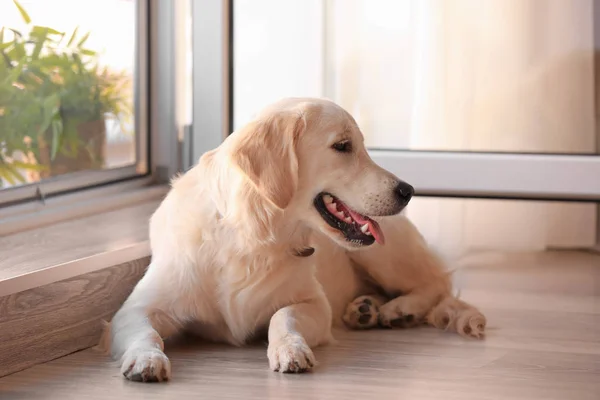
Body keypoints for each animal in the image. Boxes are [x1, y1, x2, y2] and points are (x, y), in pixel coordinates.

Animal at [104, 96, 488, 382]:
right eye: (343, 146)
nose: (408, 191)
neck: (253, 236)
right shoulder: (135, 309)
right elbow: (146, 332)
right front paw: (146, 359)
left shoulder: (314, 303)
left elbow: (282, 317)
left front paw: (290, 349)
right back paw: (366, 309)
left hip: (384, 252)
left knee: (437, 284)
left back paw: (398, 310)